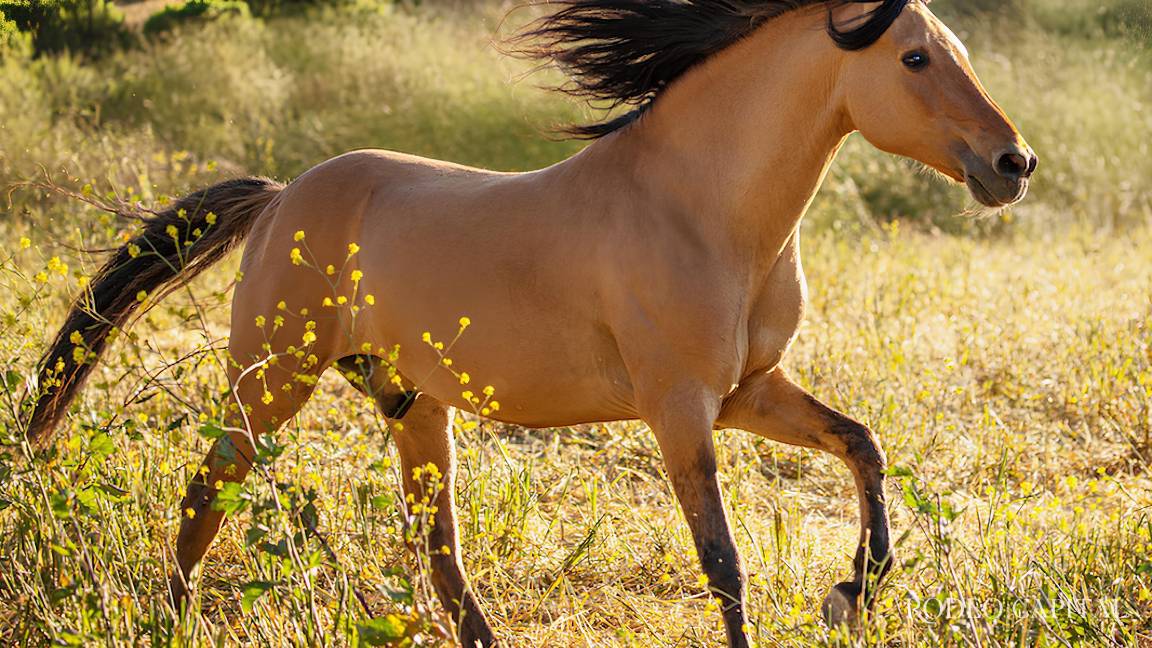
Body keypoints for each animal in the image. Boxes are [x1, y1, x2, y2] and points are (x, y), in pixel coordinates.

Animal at [24, 0, 1036, 645]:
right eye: (914, 59)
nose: (1012, 163)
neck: (700, 207)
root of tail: (280, 200)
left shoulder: (750, 393)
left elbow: (862, 446)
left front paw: (849, 593)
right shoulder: (679, 411)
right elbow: (724, 562)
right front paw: (839, 593)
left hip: (413, 407)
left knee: (438, 554)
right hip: (272, 383)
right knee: (207, 492)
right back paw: (171, 619)